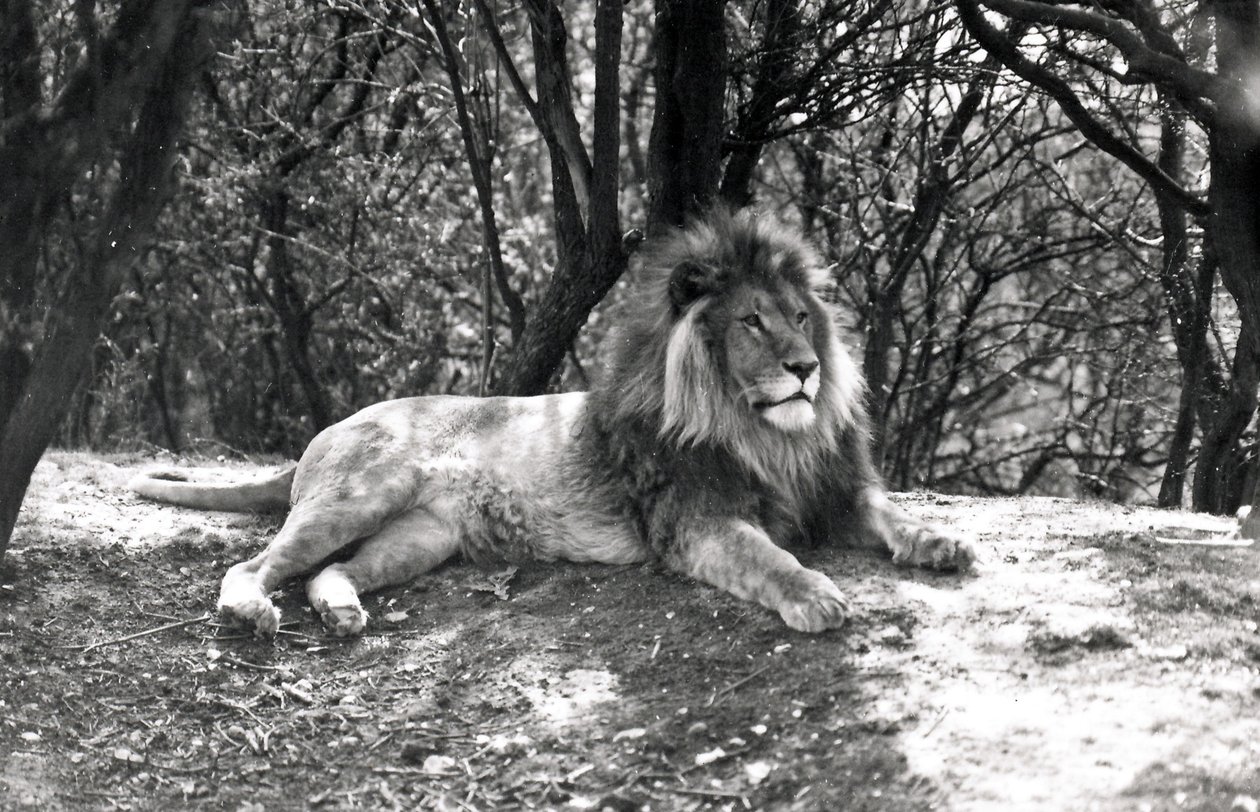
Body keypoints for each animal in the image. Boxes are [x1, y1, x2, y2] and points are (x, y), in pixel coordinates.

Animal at [127, 206, 972, 638]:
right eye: (752, 324)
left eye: (802, 318)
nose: (806, 368)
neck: (769, 433)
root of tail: (330, 427)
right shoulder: (694, 522)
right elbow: (769, 559)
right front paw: (814, 594)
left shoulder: (836, 492)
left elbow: (892, 514)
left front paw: (942, 542)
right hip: (362, 492)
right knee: (253, 566)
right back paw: (251, 609)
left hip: (421, 537)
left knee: (324, 574)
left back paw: (340, 610)